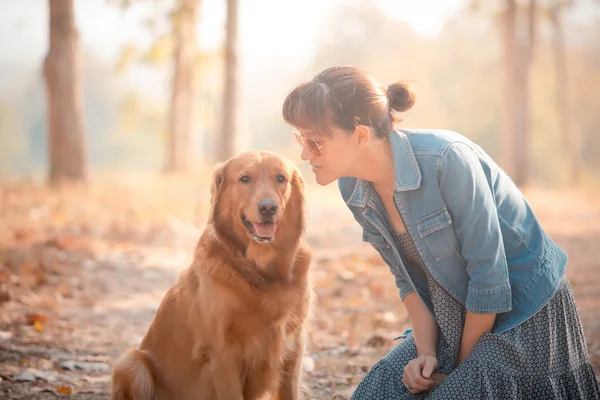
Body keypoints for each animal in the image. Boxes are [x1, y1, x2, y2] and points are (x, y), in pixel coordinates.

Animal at [110, 151, 314, 400]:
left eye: (281, 178)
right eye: (245, 178)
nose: (268, 207)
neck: (261, 269)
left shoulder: (293, 347)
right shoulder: (222, 351)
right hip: (131, 362)